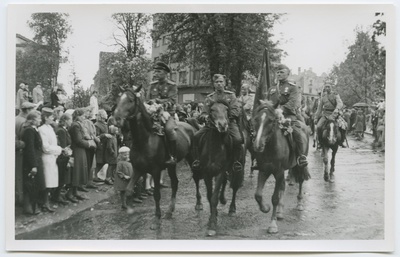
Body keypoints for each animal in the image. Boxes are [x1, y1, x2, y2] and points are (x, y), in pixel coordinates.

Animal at [113, 86, 196, 228]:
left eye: (130, 100)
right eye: (118, 100)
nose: (117, 119)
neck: (144, 140)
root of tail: (190, 126)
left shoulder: (156, 171)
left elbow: (157, 194)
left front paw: (157, 218)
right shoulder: (138, 169)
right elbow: (129, 190)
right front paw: (131, 214)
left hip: (191, 159)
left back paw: (199, 204)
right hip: (172, 165)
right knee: (175, 183)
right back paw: (169, 211)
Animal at [193, 99, 245, 235]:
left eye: (226, 110)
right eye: (212, 110)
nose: (222, 125)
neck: (214, 148)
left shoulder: (219, 172)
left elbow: (214, 198)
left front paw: (212, 224)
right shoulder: (207, 173)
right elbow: (210, 196)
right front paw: (214, 215)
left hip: (237, 170)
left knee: (235, 187)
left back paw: (232, 209)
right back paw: (223, 200)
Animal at [252, 101, 310, 233]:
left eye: (271, 121)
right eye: (256, 119)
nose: (257, 145)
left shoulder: (278, 172)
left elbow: (274, 198)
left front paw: (272, 224)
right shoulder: (263, 170)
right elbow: (258, 195)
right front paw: (265, 208)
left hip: (299, 165)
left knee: (300, 181)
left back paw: (299, 203)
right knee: (283, 186)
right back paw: (280, 211)